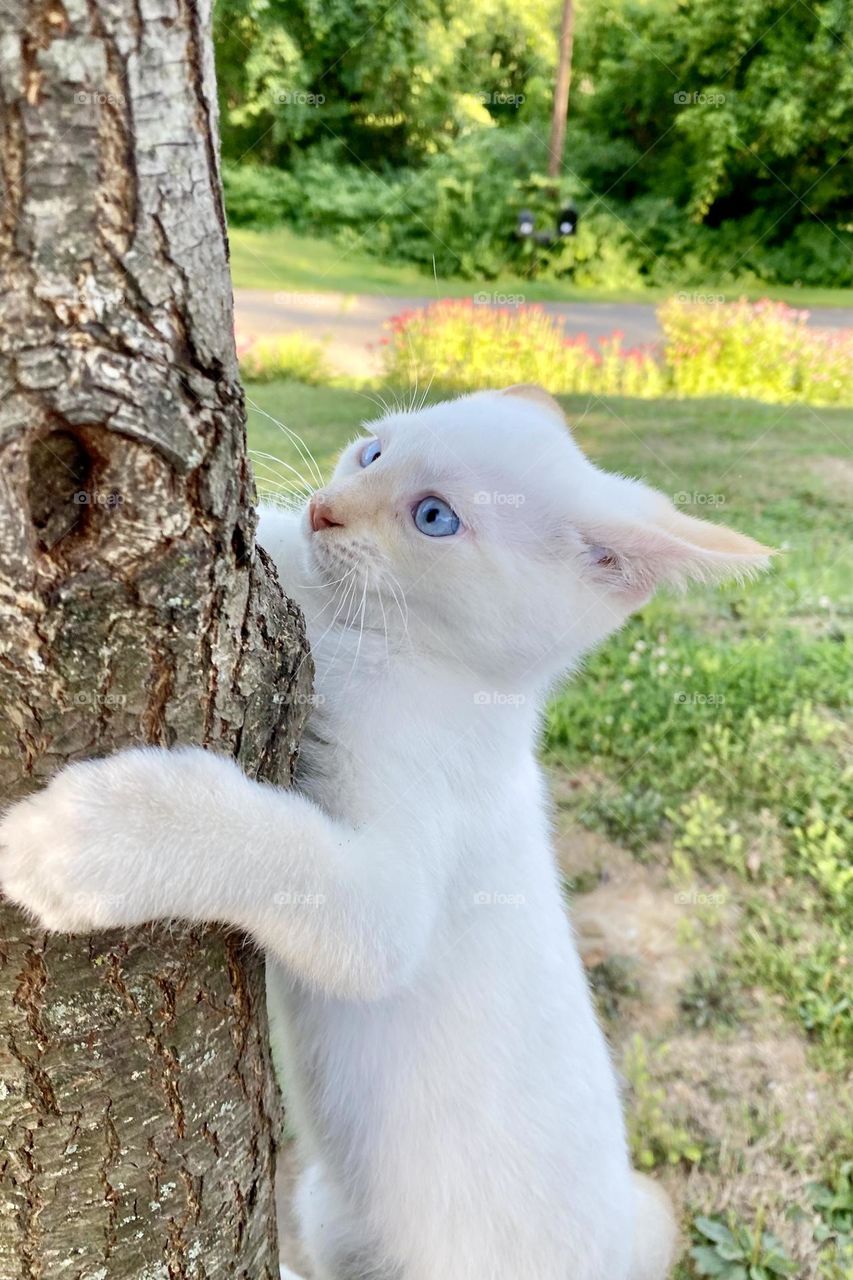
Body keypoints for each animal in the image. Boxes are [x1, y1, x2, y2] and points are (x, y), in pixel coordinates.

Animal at [1, 384, 768, 1274]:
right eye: (372, 451)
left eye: (433, 517)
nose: (326, 509)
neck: (386, 647)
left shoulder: (386, 905)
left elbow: (285, 860)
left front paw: (79, 841)